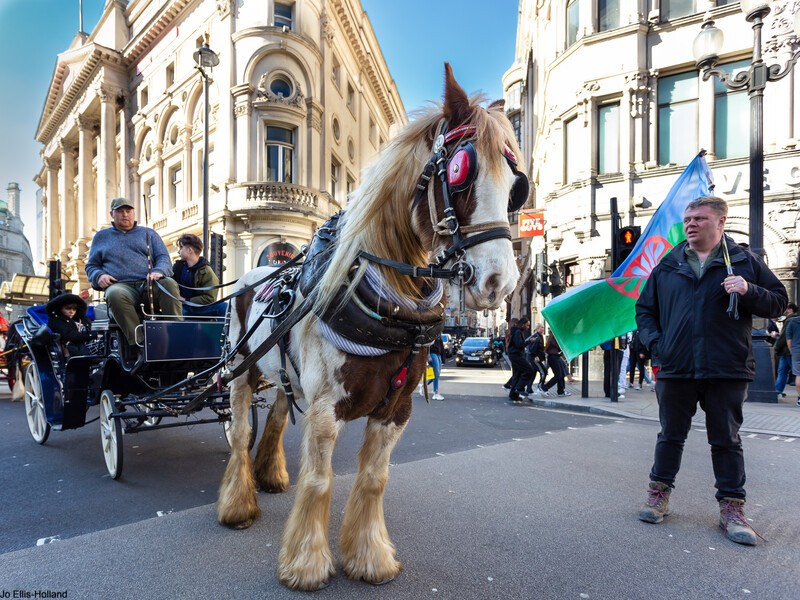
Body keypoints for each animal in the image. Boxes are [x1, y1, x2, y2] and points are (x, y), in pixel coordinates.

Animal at [219, 63, 528, 588]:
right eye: (460, 172)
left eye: (515, 186)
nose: (499, 282)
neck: (386, 302)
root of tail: (252, 275)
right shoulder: (326, 408)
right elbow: (320, 479)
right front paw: (307, 564)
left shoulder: (396, 408)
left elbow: (373, 478)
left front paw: (369, 557)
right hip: (241, 371)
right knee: (240, 434)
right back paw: (238, 505)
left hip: (283, 376)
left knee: (276, 418)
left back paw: (270, 476)